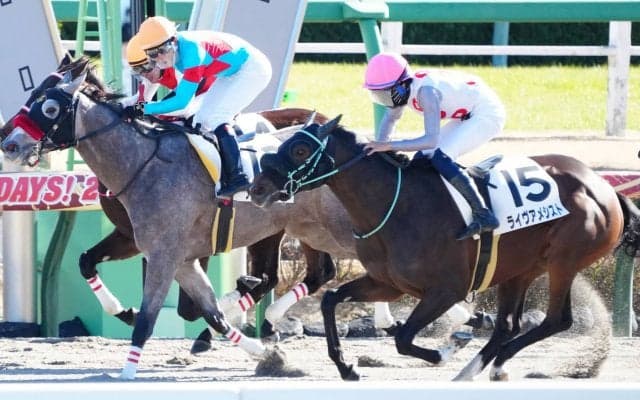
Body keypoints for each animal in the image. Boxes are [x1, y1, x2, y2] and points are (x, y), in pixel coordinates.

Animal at [249, 115, 640, 381]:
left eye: (299, 149)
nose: (257, 188)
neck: (397, 205)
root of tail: (605, 188)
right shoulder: (388, 284)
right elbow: (331, 299)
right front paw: (346, 366)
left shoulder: (445, 290)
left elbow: (403, 337)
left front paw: (446, 350)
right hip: (522, 268)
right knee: (508, 324)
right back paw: (479, 369)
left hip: (564, 261)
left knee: (556, 319)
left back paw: (484, 366)